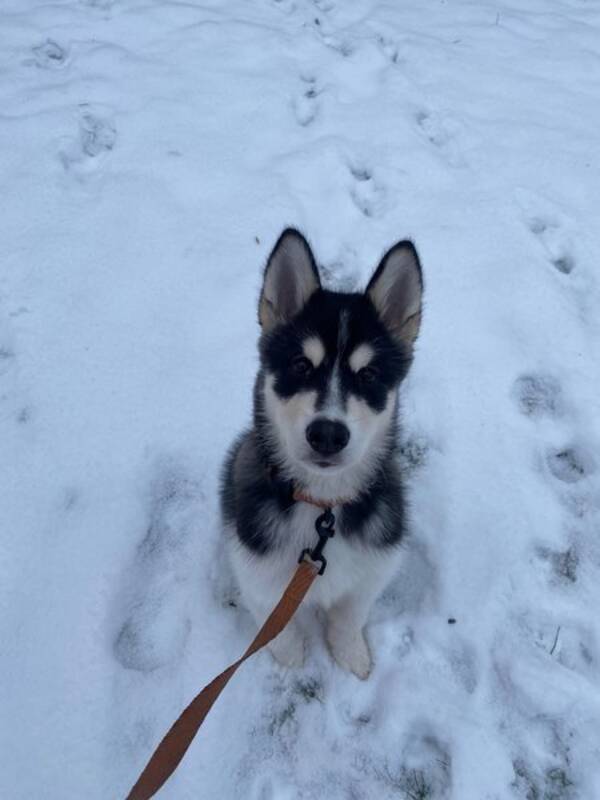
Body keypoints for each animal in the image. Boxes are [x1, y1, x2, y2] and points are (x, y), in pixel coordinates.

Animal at [220, 228, 422, 680]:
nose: (327, 434)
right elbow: (277, 628)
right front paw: (291, 659)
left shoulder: (372, 571)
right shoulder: (259, 576)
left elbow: (349, 617)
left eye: (369, 374)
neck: (322, 504)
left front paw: (351, 654)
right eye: (300, 365)